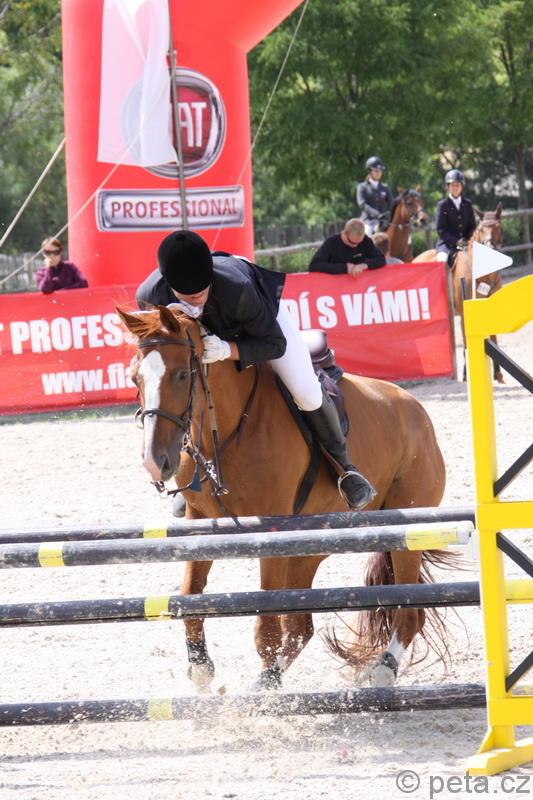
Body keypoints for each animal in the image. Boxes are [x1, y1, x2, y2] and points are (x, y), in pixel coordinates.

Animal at [118, 305, 449, 692]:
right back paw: (268, 679)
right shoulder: (200, 521)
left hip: (405, 532)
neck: (227, 429)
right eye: (135, 378)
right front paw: (201, 669)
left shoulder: (271, 530)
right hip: (307, 549)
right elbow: (189, 596)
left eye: (183, 374)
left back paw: (383, 668)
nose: (155, 462)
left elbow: (266, 620)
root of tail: (415, 409)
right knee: (301, 626)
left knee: (409, 611)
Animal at [413, 203, 505, 382]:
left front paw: (497, 374)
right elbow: (466, 342)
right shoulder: (464, 313)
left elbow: (494, 337)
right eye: (481, 229)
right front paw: (466, 374)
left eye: (499, 227)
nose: (490, 249)